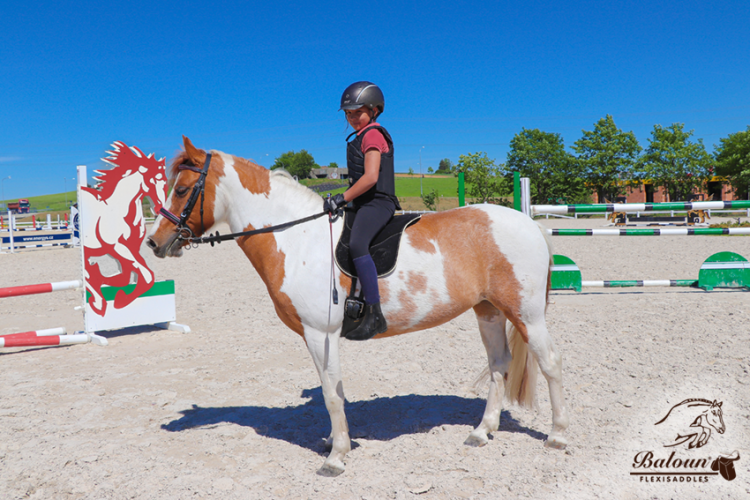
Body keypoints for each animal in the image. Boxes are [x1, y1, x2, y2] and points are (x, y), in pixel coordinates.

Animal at [145, 137, 568, 476]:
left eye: (182, 189)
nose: (154, 242)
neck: (296, 237)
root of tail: (529, 224)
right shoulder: (317, 337)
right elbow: (333, 389)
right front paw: (336, 441)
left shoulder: (321, 333)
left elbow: (331, 394)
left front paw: (336, 457)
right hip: (488, 311)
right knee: (498, 365)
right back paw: (482, 432)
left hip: (526, 314)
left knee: (549, 363)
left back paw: (558, 436)